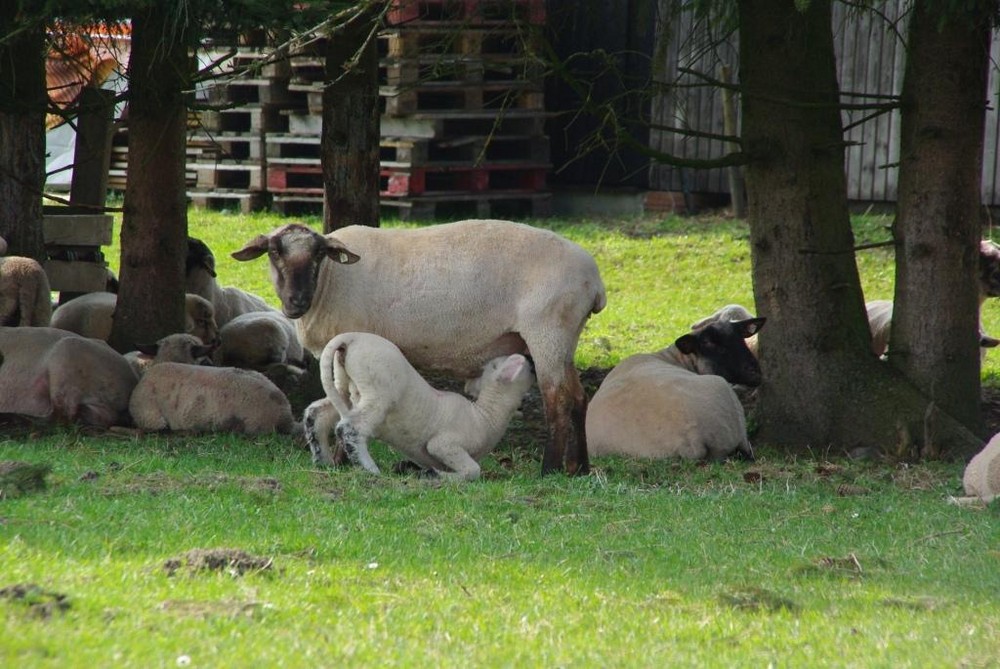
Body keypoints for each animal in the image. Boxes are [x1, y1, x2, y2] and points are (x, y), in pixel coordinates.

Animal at [302, 330, 536, 478]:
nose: (531, 359)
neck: (485, 415)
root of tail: (351, 338)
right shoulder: (444, 444)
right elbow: (472, 471)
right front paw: (433, 476)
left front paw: (409, 469)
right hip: (378, 391)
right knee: (351, 428)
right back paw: (370, 469)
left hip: (345, 384)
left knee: (316, 413)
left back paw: (323, 460)